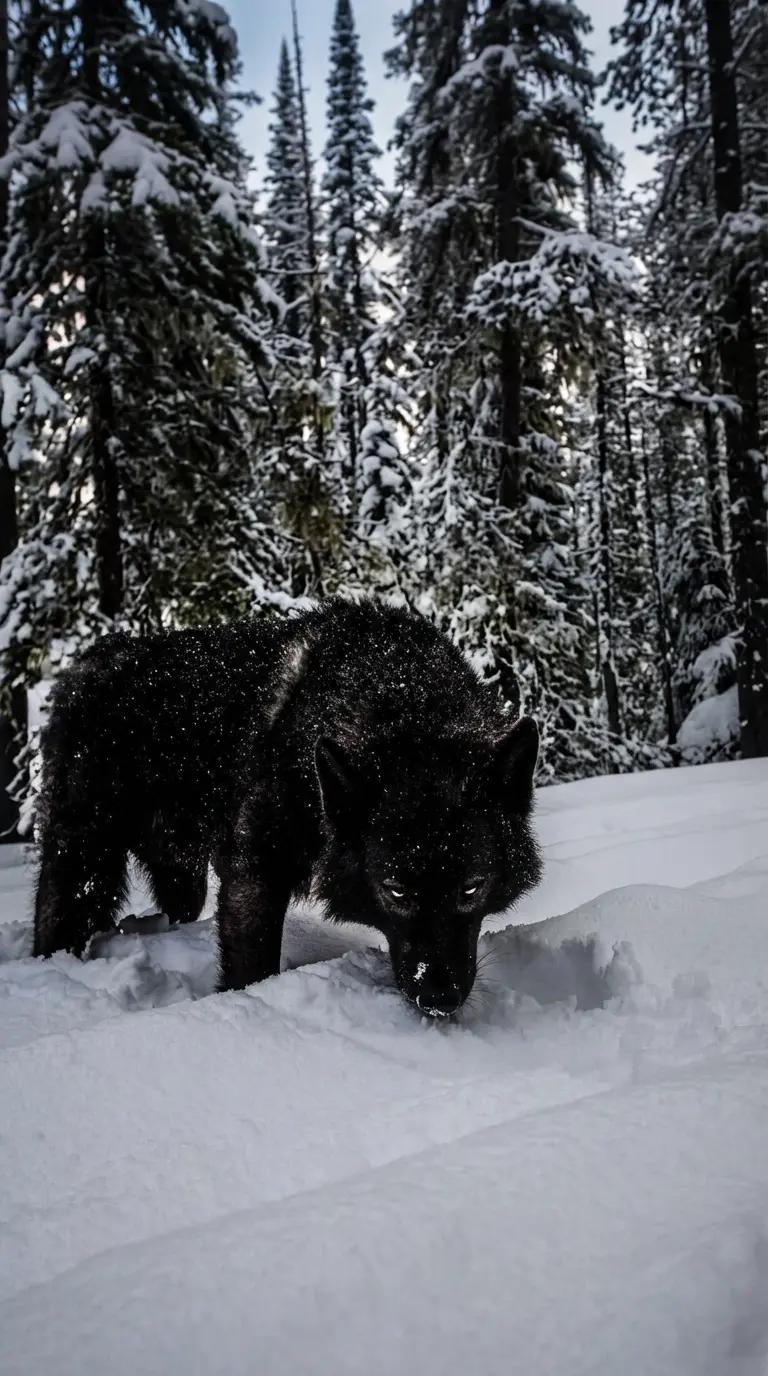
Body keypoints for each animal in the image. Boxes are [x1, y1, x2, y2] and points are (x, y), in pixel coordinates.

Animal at [34, 600, 542, 1016]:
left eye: (472, 888)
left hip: (181, 879)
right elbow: (251, 967)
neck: (397, 694)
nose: (439, 998)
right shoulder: (255, 874)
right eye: (396, 891)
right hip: (83, 865)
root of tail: (88, 665)